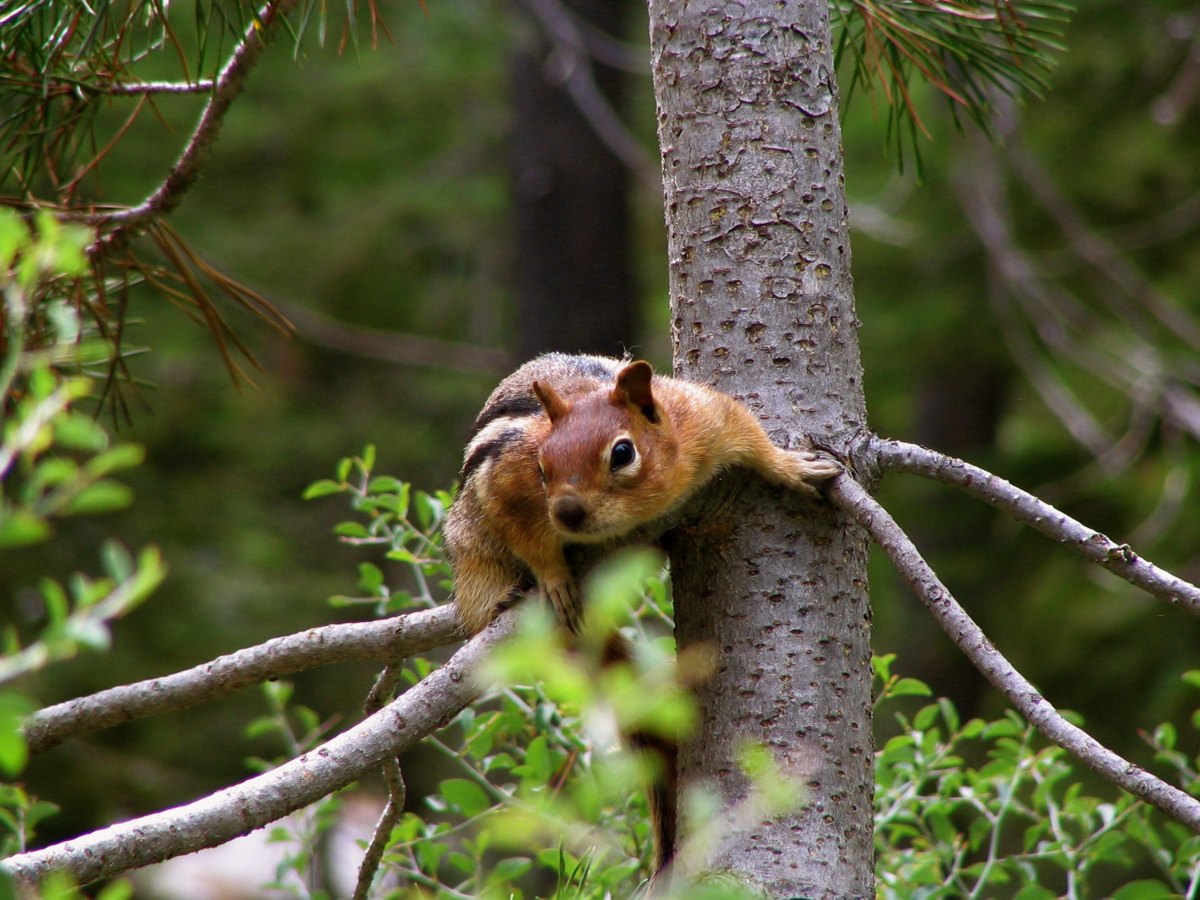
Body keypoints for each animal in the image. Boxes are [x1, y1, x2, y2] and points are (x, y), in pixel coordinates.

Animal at [444, 355, 844, 638]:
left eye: (622, 453)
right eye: (541, 467)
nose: (567, 513)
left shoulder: (703, 417)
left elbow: (749, 434)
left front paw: (790, 465)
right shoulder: (502, 485)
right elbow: (526, 538)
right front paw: (555, 579)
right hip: (472, 553)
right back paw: (504, 598)